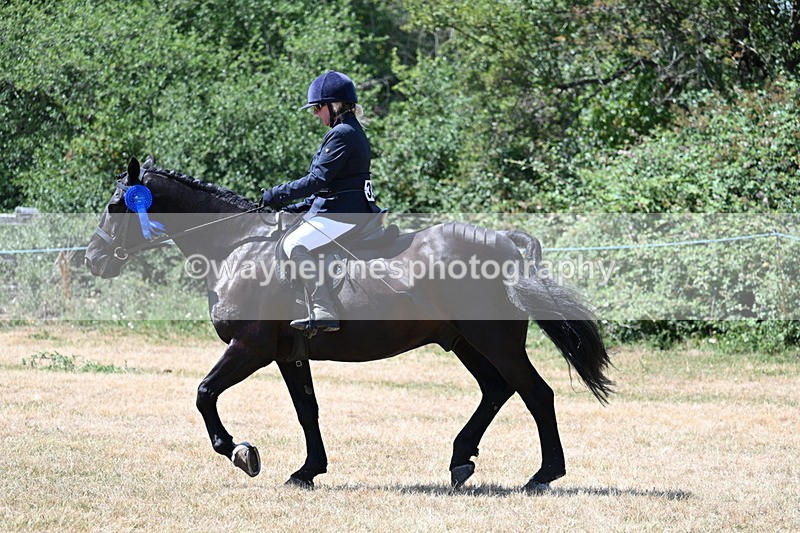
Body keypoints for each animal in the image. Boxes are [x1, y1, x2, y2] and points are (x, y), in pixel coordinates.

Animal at [84, 156, 613, 491]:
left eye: (114, 205)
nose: (93, 259)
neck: (237, 246)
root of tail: (503, 241)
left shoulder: (249, 348)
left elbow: (204, 393)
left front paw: (240, 452)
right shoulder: (289, 354)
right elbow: (307, 410)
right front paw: (306, 471)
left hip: (495, 341)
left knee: (535, 393)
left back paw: (543, 475)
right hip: (463, 341)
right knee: (497, 389)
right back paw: (461, 460)